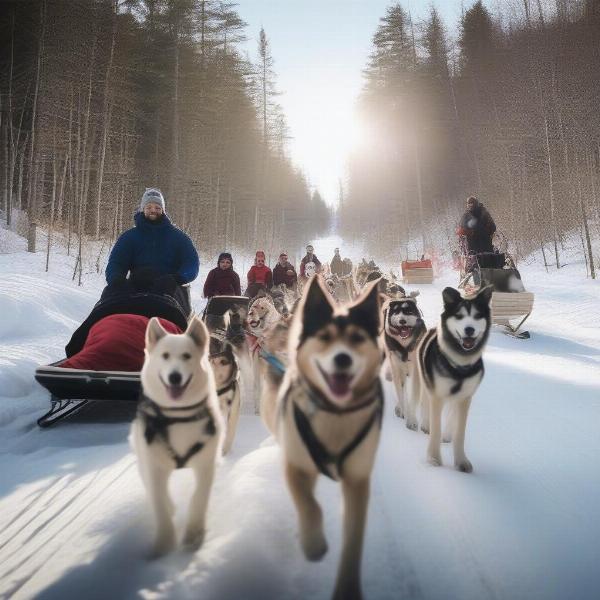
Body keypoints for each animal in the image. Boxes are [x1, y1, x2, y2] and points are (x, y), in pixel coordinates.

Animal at [130, 316, 224, 556]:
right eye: (165, 356)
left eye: (187, 356)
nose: (174, 377)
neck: (178, 415)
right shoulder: (154, 467)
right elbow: (159, 504)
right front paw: (164, 542)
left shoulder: (206, 465)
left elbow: (198, 497)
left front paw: (194, 533)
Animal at [274, 278, 382, 600]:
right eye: (324, 337)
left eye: (357, 338)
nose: (342, 358)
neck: (336, 412)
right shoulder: (296, 465)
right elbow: (310, 505)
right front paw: (313, 543)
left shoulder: (357, 480)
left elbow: (353, 539)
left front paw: (347, 588)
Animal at [382, 290, 424, 426]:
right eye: (396, 313)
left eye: (408, 311)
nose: (402, 321)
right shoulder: (396, 366)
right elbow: (400, 392)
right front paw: (401, 410)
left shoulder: (415, 369)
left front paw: (412, 420)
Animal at [412, 286, 492, 474]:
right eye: (459, 316)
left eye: (477, 316)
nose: (469, 329)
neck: (459, 367)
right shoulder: (437, 395)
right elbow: (435, 428)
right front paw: (433, 458)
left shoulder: (465, 398)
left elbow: (460, 431)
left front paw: (461, 461)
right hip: (422, 381)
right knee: (423, 402)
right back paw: (424, 424)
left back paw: (447, 434)